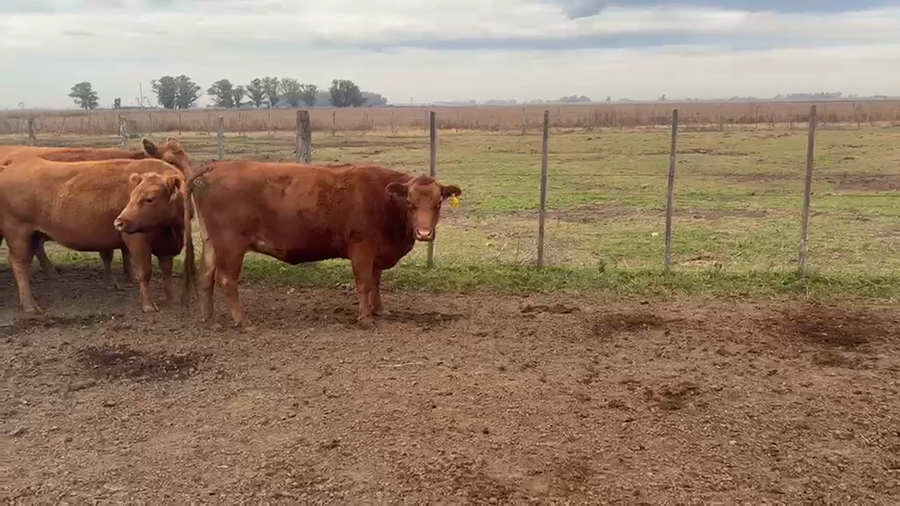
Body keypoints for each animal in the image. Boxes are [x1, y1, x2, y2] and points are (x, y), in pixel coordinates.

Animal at [0, 155, 193, 314]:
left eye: (149, 199)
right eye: (131, 197)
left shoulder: (167, 245)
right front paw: (148, 305)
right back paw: (30, 305)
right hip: (19, 235)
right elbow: (145, 272)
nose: (119, 222)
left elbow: (166, 270)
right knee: (19, 264)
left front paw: (171, 299)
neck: (170, 228)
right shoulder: (137, 242)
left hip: (32, 236)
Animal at [181, 160, 462, 330]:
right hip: (231, 245)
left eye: (438, 203)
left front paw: (380, 310)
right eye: (410, 203)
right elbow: (364, 283)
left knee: (205, 276)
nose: (424, 233)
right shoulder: (362, 247)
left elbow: (376, 282)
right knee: (226, 280)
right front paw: (366, 319)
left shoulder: (376, 252)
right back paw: (243, 322)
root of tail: (214, 165)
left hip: (211, 243)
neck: (385, 200)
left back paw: (209, 319)